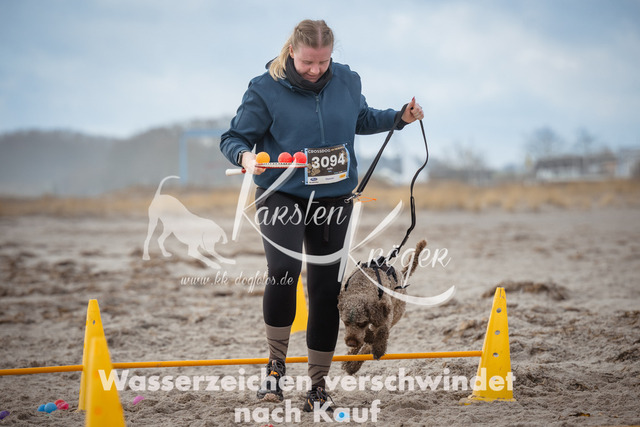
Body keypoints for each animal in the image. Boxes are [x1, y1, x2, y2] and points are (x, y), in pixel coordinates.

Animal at [338, 239, 426, 375]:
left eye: (361, 323)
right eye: (345, 322)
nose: (351, 343)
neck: (362, 287)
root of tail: (402, 274)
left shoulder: (385, 314)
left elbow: (380, 333)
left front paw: (378, 349)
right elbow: (367, 336)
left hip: (396, 312)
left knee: (369, 344)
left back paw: (353, 364)